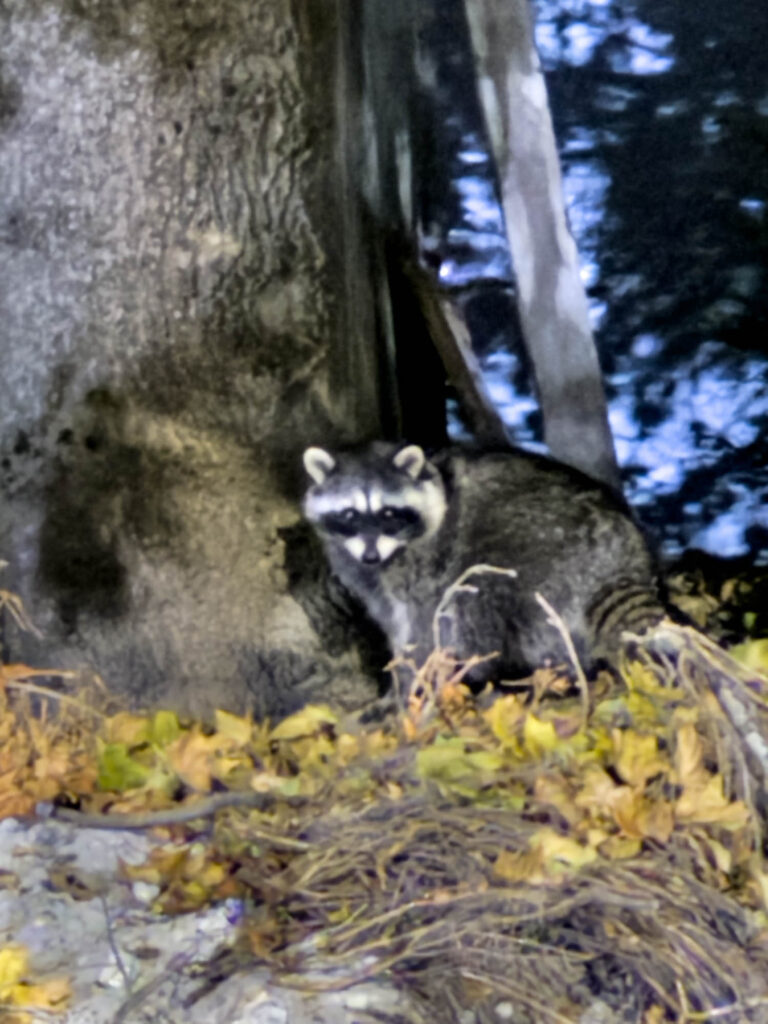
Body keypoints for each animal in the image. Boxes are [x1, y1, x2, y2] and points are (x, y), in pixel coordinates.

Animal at [302, 441, 663, 685]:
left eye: (388, 513)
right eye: (350, 514)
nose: (371, 556)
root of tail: (621, 554)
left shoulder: (427, 564)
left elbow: (422, 621)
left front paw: (410, 679)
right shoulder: (359, 565)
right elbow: (388, 614)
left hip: (543, 552)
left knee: (479, 603)